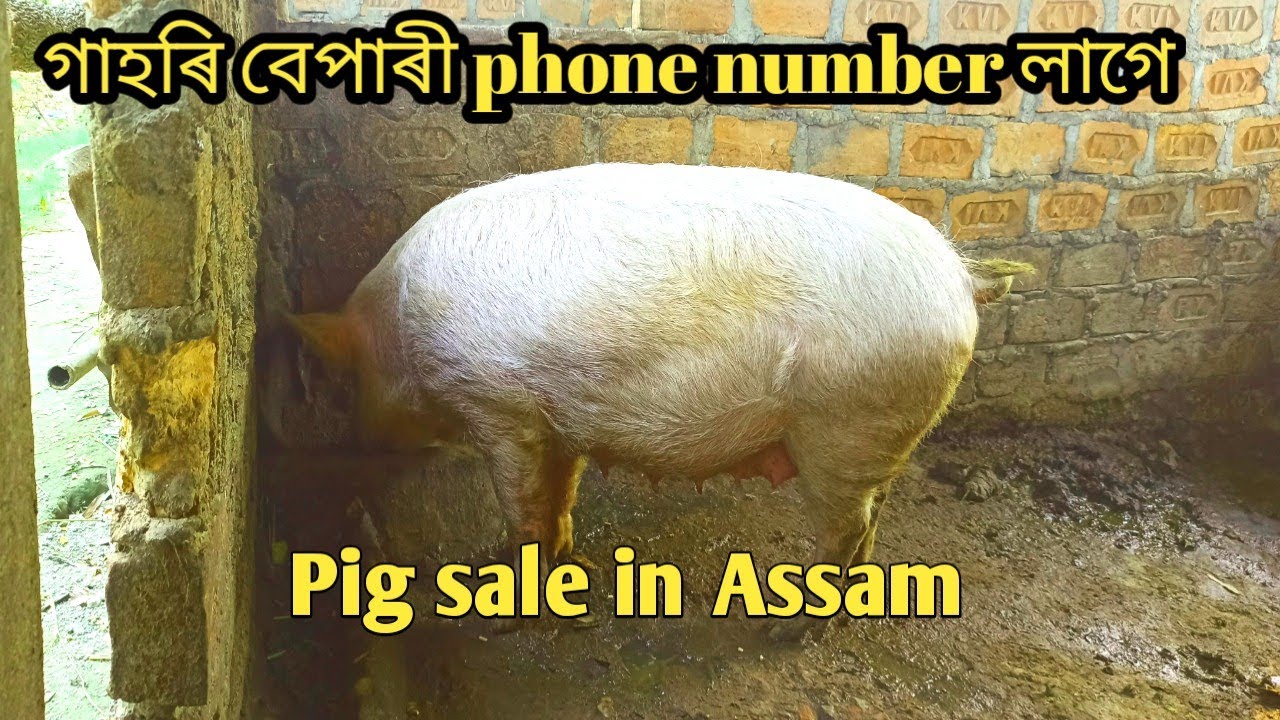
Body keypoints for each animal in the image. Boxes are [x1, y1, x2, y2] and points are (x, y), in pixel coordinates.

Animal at [288, 163, 1029, 634]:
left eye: (343, 387)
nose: (354, 456)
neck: (396, 331)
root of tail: (959, 277)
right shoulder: (559, 419)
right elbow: (559, 498)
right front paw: (570, 565)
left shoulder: (499, 408)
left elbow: (522, 507)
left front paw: (506, 611)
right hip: (878, 433)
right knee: (873, 524)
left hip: (845, 424)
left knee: (845, 531)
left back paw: (789, 633)